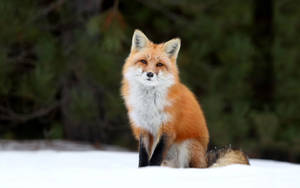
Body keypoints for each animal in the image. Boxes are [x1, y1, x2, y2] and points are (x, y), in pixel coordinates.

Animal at [120, 29, 250, 169]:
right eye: (143, 61)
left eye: (159, 64)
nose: (150, 74)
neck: (149, 104)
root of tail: (204, 160)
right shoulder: (143, 129)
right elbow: (143, 157)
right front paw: (143, 170)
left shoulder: (168, 128)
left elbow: (156, 156)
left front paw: (153, 170)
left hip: (187, 145)